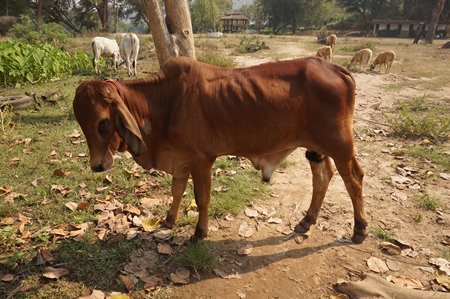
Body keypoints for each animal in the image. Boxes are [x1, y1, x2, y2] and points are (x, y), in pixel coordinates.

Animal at [74, 56, 368, 246]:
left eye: (103, 123)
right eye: (80, 122)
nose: (97, 165)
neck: (164, 101)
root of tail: (336, 68)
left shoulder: (201, 160)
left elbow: (201, 198)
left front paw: (199, 234)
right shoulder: (181, 159)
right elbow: (176, 191)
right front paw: (169, 221)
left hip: (340, 143)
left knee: (353, 179)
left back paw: (360, 230)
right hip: (317, 147)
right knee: (323, 176)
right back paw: (307, 221)